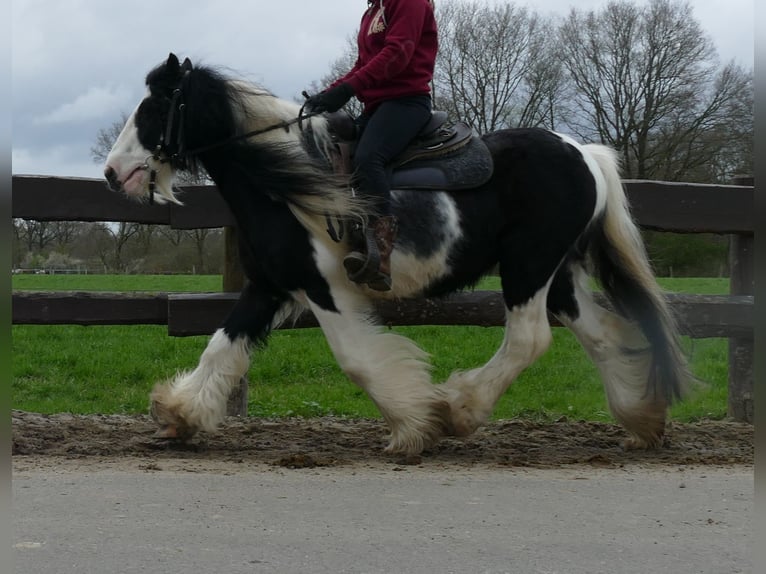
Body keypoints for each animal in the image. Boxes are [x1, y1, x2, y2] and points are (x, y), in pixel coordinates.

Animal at [104, 53, 691, 455]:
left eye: (155, 107)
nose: (112, 173)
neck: (287, 183)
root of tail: (584, 153)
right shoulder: (269, 285)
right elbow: (221, 348)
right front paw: (179, 414)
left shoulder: (326, 289)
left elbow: (358, 361)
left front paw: (416, 424)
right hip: (557, 274)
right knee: (602, 335)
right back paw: (641, 419)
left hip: (528, 267)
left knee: (529, 339)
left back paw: (460, 409)